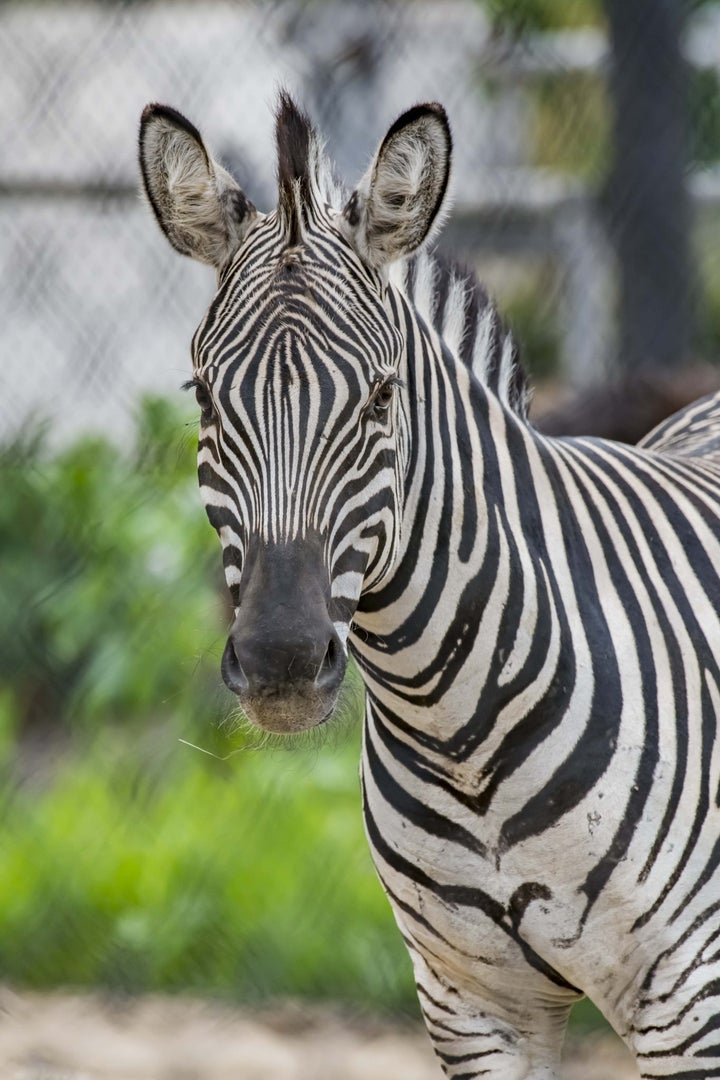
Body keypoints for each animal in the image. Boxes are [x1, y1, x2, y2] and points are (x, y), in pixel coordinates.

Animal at [139, 97, 720, 1075]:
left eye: (381, 397)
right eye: (205, 398)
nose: (282, 660)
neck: (460, 730)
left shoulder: (689, 999)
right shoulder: (472, 1005)